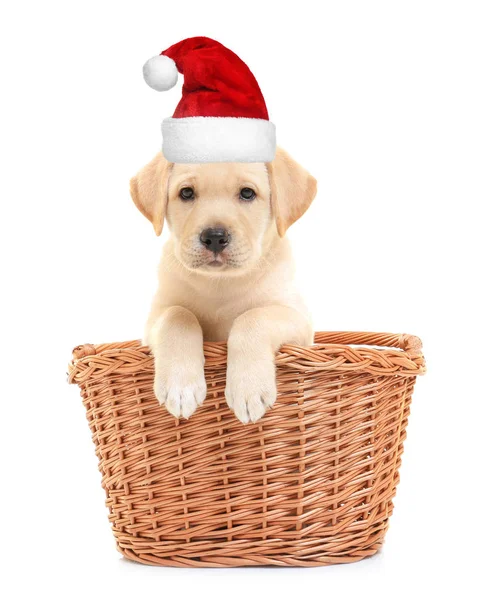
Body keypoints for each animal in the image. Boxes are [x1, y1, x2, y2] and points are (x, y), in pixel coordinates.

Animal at [131, 148, 316, 424]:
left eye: (247, 193)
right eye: (186, 193)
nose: (215, 237)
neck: (220, 284)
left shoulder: (299, 321)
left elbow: (253, 317)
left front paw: (248, 388)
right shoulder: (155, 317)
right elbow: (178, 315)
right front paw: (180, 385)